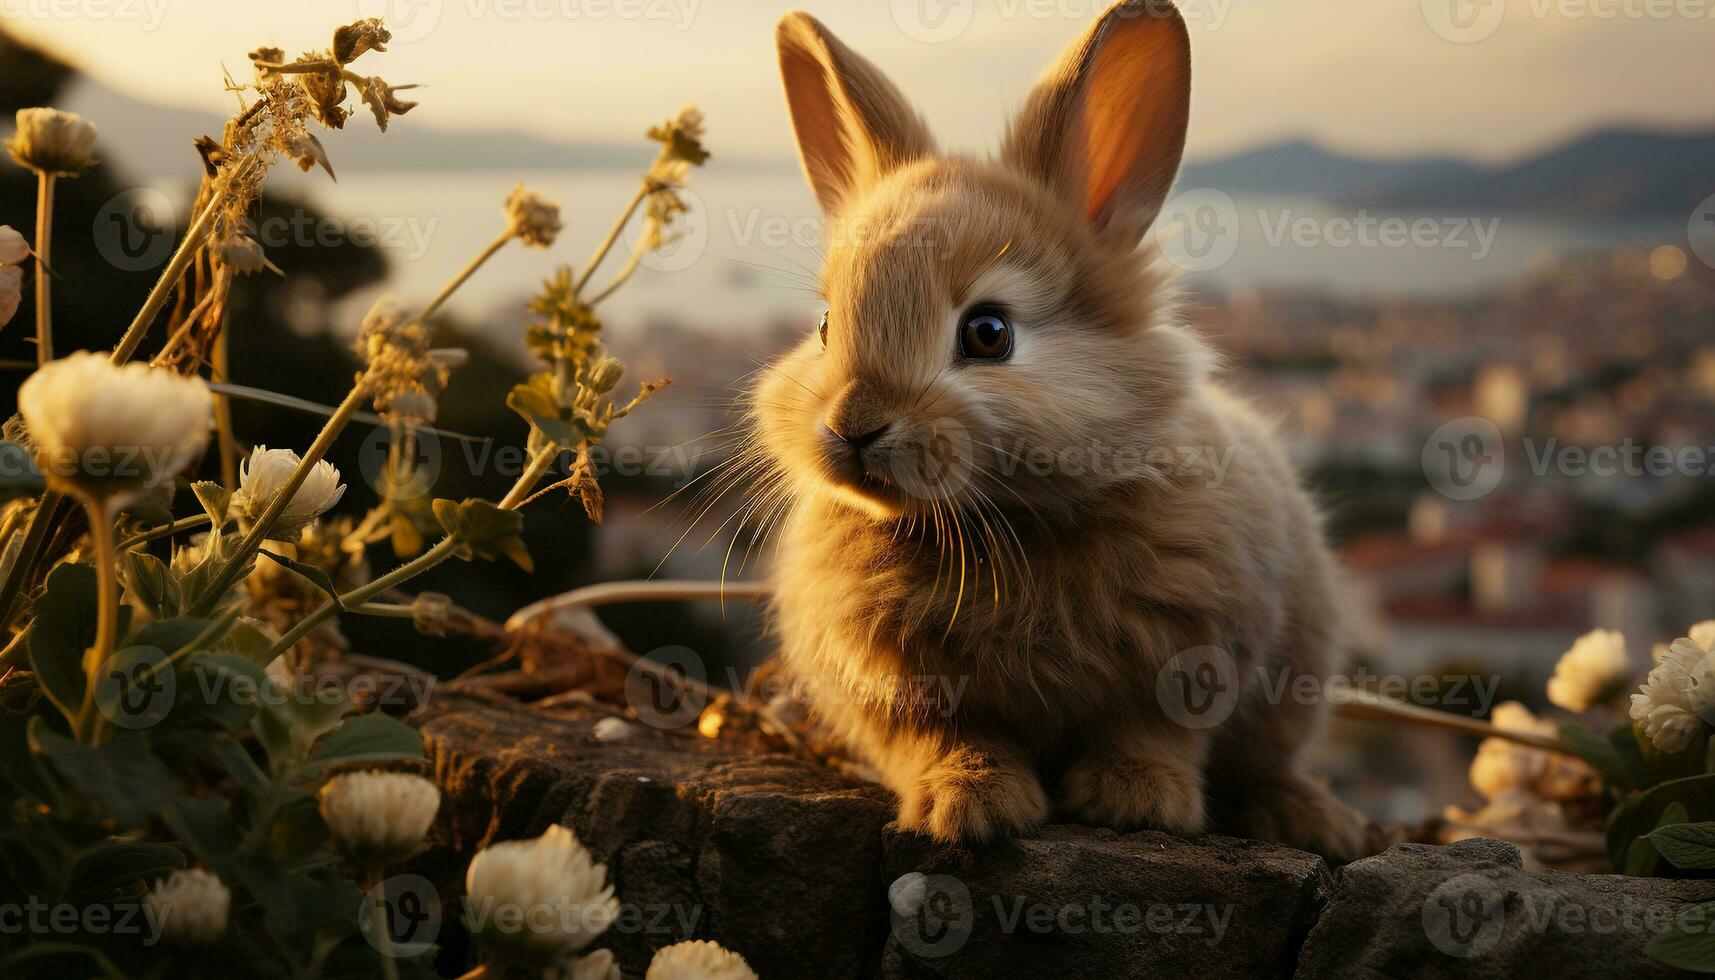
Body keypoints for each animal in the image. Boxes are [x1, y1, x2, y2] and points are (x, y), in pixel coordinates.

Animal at [751, 0, 1365, 858]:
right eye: (824, 326)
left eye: (988, 334)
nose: (854, 426)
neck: (1000, 522)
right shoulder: (905, 690)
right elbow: (949, 741)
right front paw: (969, 807)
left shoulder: (1187, 656)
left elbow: (1149, 734)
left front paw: (1133, 803)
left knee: (1269, 763)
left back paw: (1311, 820)